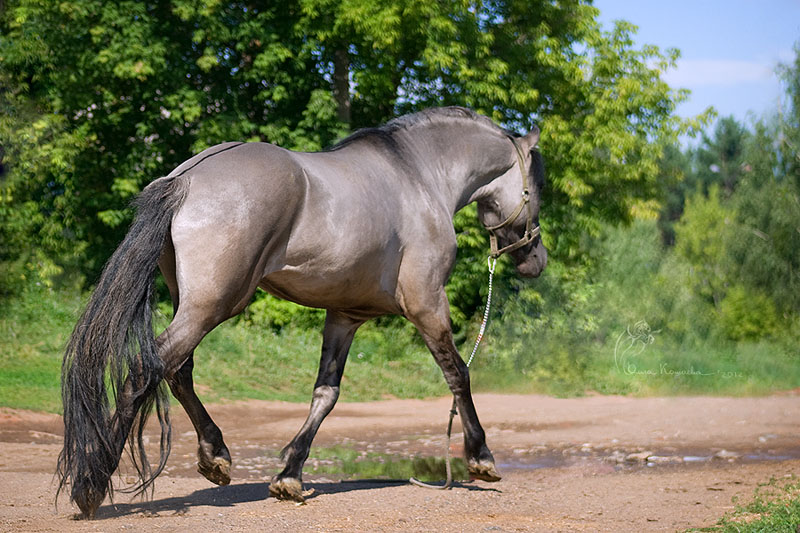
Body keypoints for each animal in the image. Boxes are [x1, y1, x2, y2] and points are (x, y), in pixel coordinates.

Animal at [54, 106, 544, 516]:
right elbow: (458, 373)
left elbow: (325, 393)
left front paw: (289, 475)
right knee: (148, 368)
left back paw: (215, 457)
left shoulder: (345, 316)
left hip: (192, 303)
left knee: (177, 371)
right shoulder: (428, 303)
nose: (534, 260)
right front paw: (481, 457)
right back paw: (91, 484)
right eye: (536, 188)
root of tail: (186, 178)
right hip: (214, 305)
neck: (419, 176)